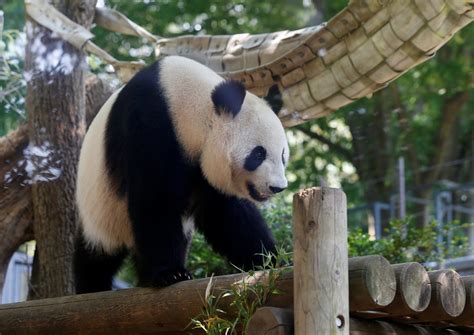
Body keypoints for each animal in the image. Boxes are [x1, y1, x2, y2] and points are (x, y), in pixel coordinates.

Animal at [74, 55, 288, 294]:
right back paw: (92, 286)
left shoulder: (205, 169)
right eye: (258, 153)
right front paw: (170, 274)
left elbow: (228, 214)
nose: (278, 187)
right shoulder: (151, 123)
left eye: (283, 155)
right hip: (101, 209)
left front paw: (270, 260)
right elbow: (156, 200)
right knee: (95, 257)